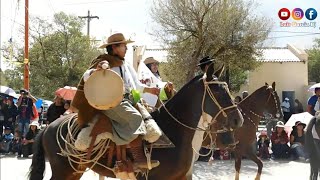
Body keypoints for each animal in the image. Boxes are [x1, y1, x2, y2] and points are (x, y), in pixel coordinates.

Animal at [28, 63, 244, 180]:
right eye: (218, 91)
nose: (238, 119)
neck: (174, 131)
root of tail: (47, 128)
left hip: (74, 171)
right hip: (63, 170)